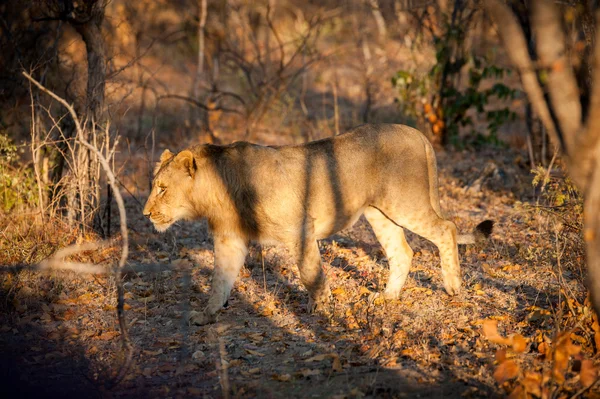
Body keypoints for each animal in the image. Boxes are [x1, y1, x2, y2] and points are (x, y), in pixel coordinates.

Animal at [144, 123, 492, 326]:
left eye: (162, 188)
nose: (145, 214)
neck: (217, 191)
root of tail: (417, 132)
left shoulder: (300, 228)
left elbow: (310, 273)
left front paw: (322, 309)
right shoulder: (230, 240)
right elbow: (219, 280)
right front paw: (207, 315)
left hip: (406, 203)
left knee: (447, 228)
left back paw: (453, 286)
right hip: (379, 213)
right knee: (403, 251)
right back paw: (386, 297)